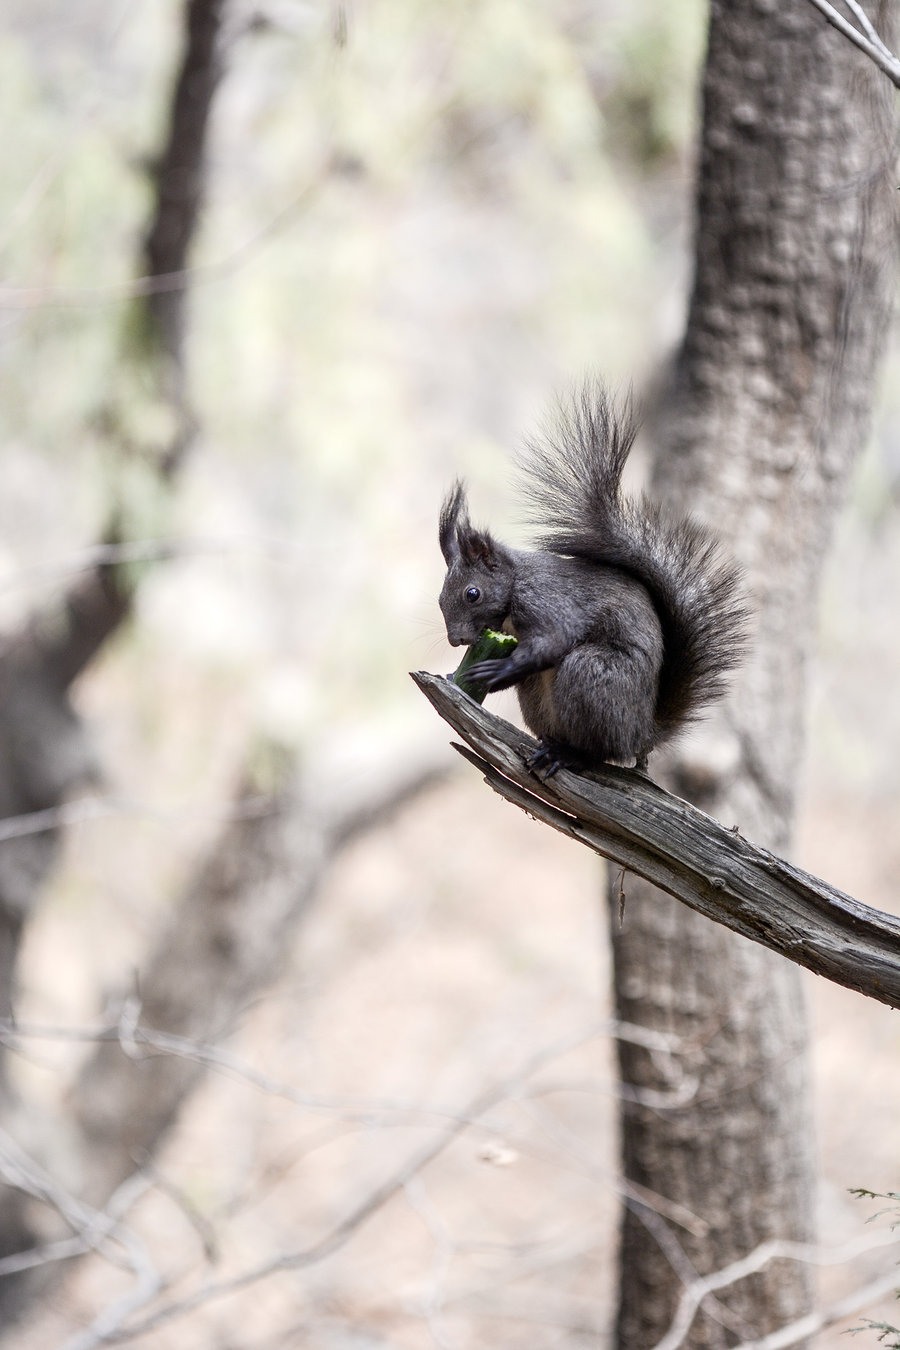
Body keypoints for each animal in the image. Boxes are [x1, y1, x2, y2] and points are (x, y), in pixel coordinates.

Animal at [439, 386, 750, 777]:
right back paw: (552, 745)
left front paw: (498, 668)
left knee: (600, 752)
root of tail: (640, 734)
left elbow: (554, 639)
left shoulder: (547, 601)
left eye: (473, 593)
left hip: (590, 675)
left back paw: (569, 755)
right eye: (439, 600)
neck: (514, 584)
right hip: (540, 699)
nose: (456, 640)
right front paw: (460, 675)